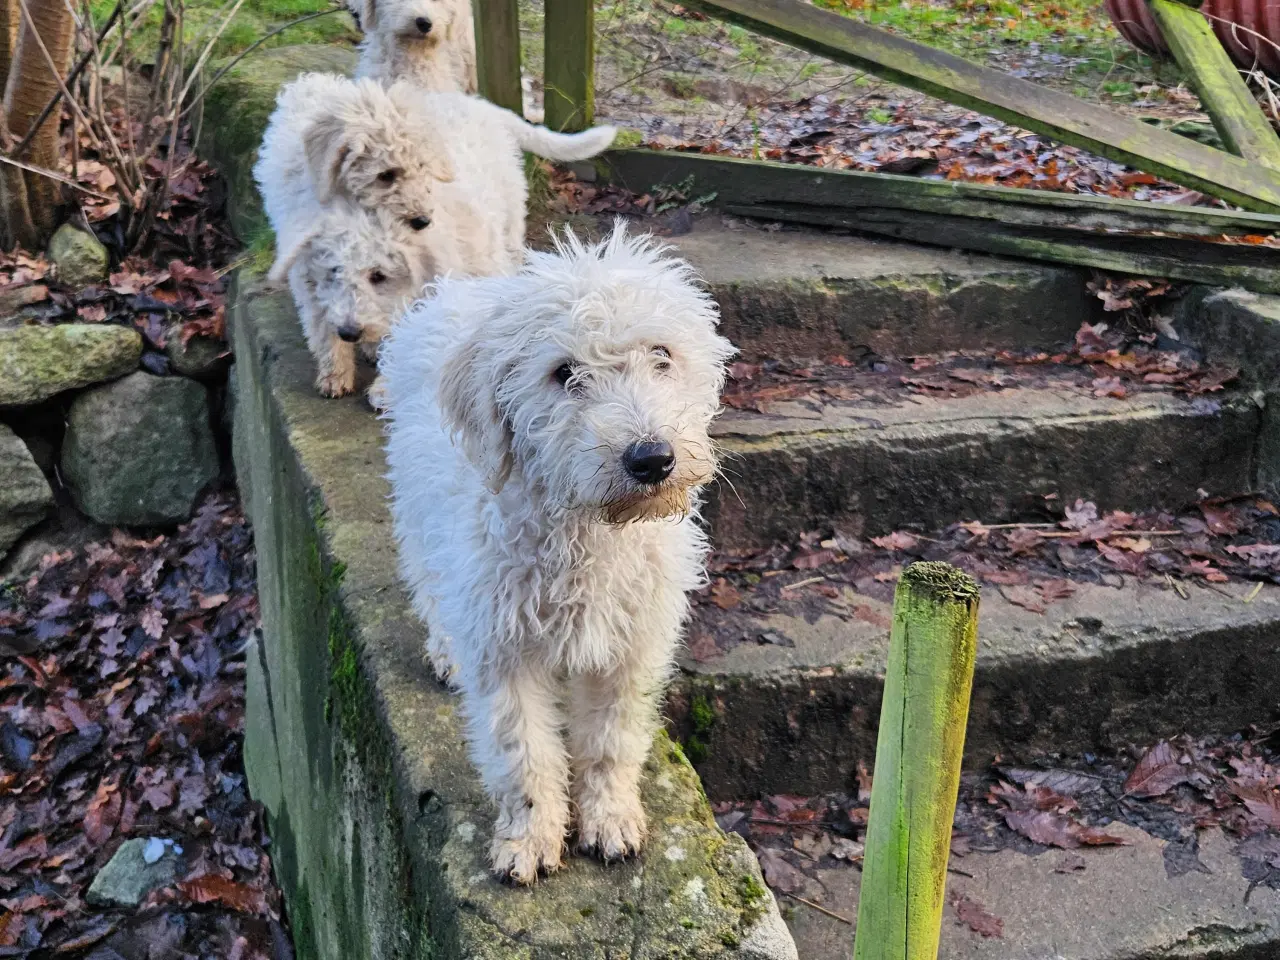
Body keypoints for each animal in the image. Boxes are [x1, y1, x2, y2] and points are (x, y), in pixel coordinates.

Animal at [378, 227, 737, 885]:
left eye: (662, 355)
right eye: (562, 372)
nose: (652, 459)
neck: (588, 533)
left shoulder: (633, 644)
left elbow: (612, 741)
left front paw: (610, 819)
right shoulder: (503, 649)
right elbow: (523, 755)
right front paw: (528, 840)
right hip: (418, 512)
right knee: (430, 583)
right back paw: (446, 650)